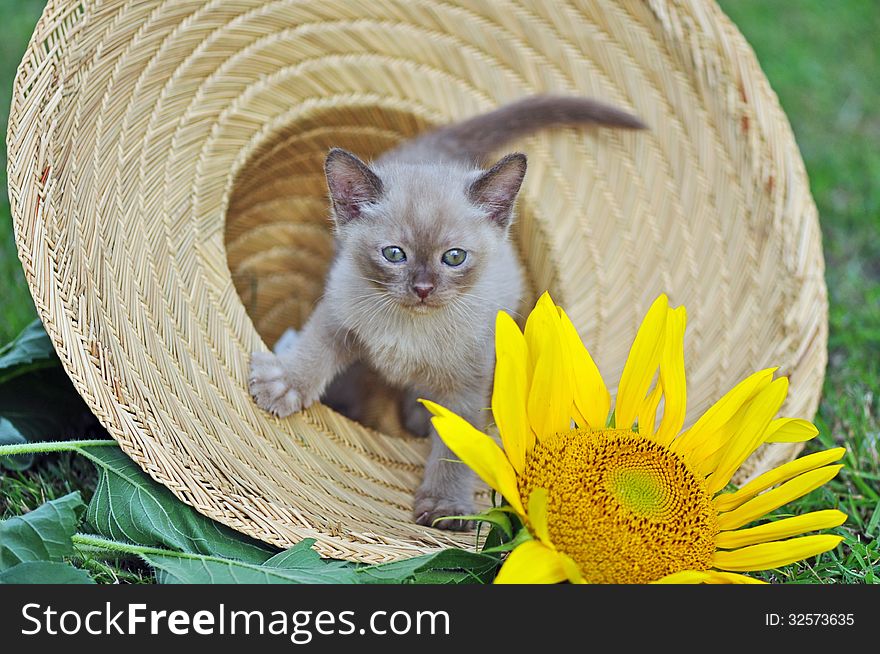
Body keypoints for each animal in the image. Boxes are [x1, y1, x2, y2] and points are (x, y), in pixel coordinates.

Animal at [251, 93, 644, 532]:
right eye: (394, 254)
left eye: (454, 257)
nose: (423, 288)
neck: (412, 329)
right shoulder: (340, 310)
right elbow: (315, 349)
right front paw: (284, 384)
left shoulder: (467, 387)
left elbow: (455, 449)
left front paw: (446, 507)